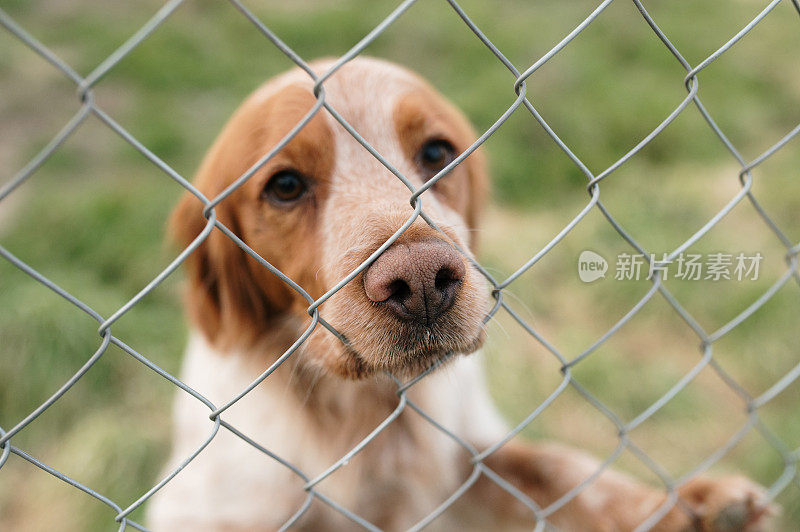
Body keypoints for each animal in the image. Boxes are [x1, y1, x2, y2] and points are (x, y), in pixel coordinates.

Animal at [147, 58, 772, 532]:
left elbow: (561, 470)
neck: (366, 411)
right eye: (284, 186)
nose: (422, 280)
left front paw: (689, 507)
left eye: (436, 152)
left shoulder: (465, 456)